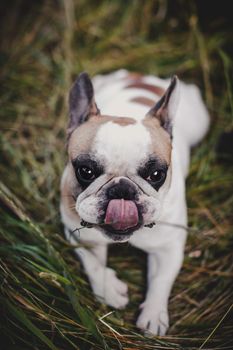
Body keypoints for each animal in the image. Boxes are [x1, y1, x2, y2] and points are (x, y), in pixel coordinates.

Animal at [60, 69, 209, 334]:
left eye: (157, 174)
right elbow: (92, 263)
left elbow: (161, 279)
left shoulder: (168, 247)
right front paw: (109, 289)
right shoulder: (76, 232)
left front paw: (153, 315)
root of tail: (138, 75)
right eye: (85, 171)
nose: (122, 189)